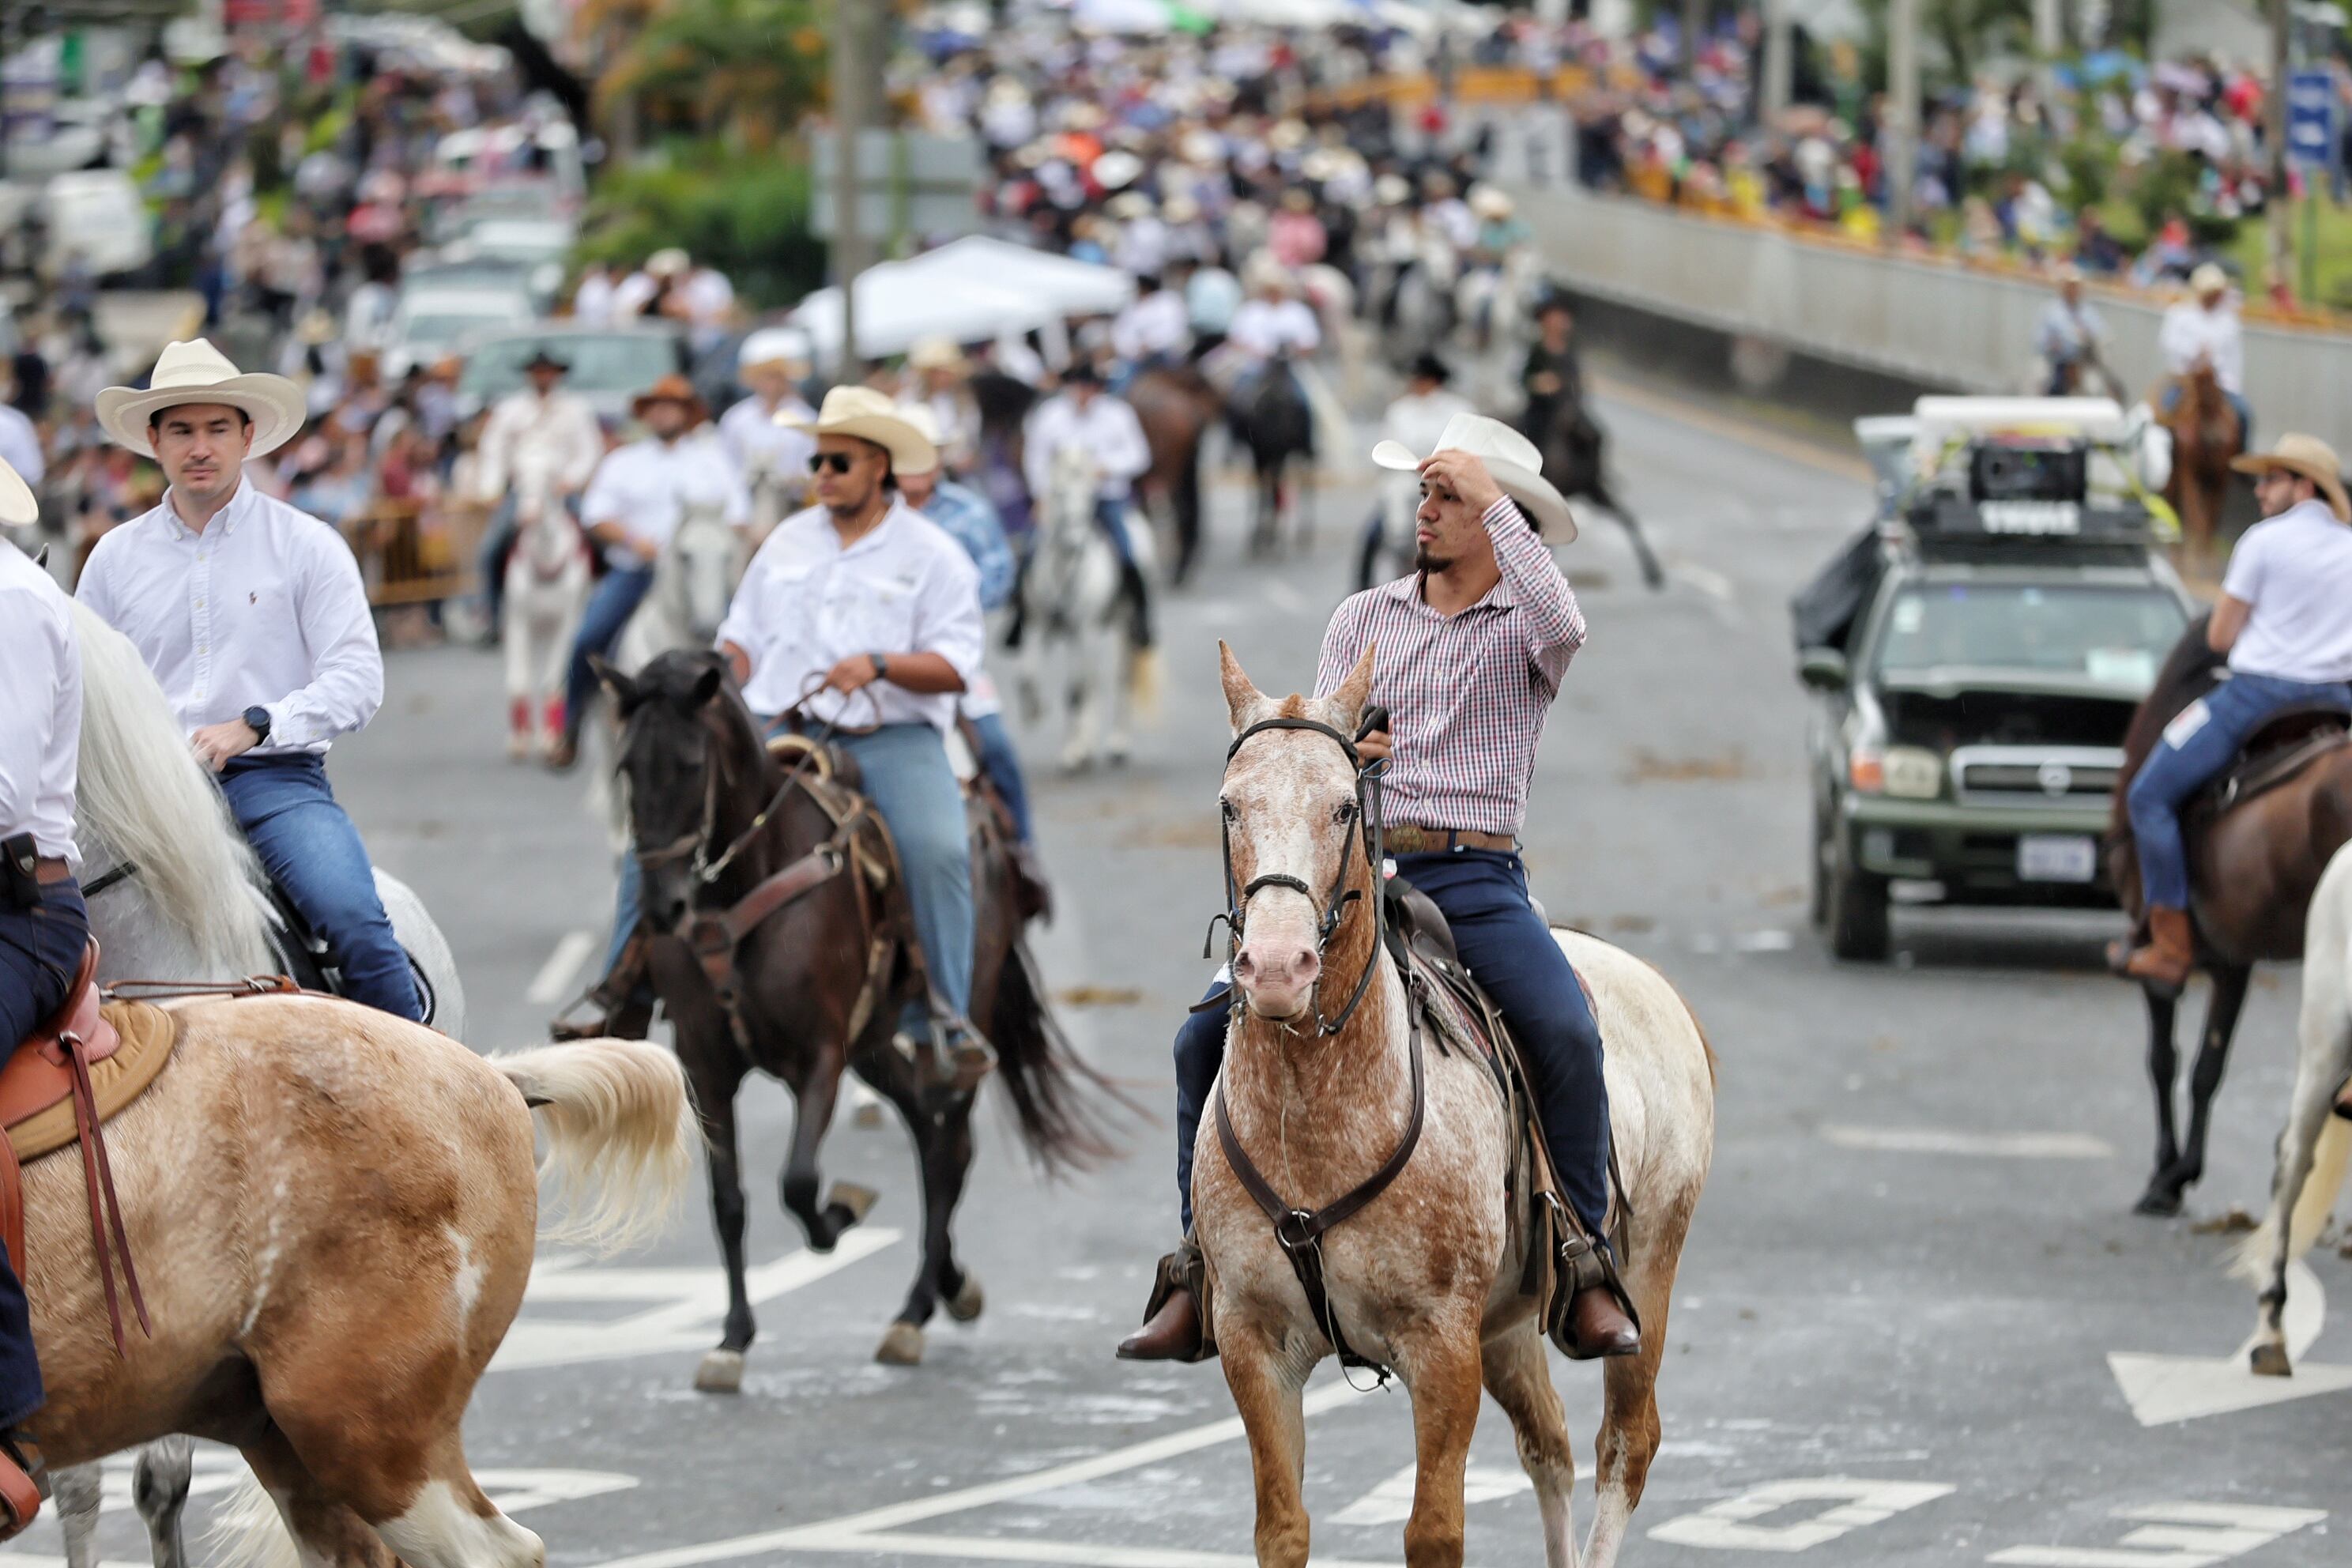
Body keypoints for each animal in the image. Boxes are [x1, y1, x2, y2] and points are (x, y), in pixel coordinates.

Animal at [499, 463, 590, 763]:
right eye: (517, 480)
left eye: (551, 478)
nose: (528, 514)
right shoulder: (518, 621)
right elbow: (519, 678)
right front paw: (519, 738)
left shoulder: (566, 625)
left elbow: (553, 680)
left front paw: (551, 740)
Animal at [597, 650, 1125, 1383]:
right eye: (626, 767)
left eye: (689, 763)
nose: (661, 907)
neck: (743, 890)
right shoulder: (707, 1066)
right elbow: (729, 1202)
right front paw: (733, 1338)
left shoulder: (819, 1056)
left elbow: (798, 1183)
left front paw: (842, 1213)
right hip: (873, 1047)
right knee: (926, 1134)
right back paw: (947, 1288)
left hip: (958, 1026)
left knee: (950, 1151)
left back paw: (917, 1309)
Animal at [1015, 443, 1155, 772]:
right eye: (1060, 493)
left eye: (1089, 495)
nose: (1074, 544)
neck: (1064, 568)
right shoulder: (1036, 627)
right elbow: (1028, 678)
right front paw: (1034, 711)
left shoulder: (1085, 630)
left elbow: (1074, 692)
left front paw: (1073, 753)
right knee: (1093, 681)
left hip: (1121, 629)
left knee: (1119, 680)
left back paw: (1117, 745)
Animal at [1198, 643, 1715, 1568]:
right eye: (1231, 804)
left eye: (1343, 806)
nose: (1279, 967)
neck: (1316, 1114)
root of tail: (1656, 986)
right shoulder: (1252, 1343)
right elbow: (1281, 1529)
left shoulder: (1441, 1348)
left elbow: (1434, 1531)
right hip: (1506, 1325)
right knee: (1548, 1445)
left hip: (1648, 1273)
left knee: (1626, 1445)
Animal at [2107, 613, 2352, 1215]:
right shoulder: (2236, 960)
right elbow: (2208, 1069)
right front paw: (2180, 1173)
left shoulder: (2167, 970)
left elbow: (2165, 1061)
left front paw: (2166, 1177)